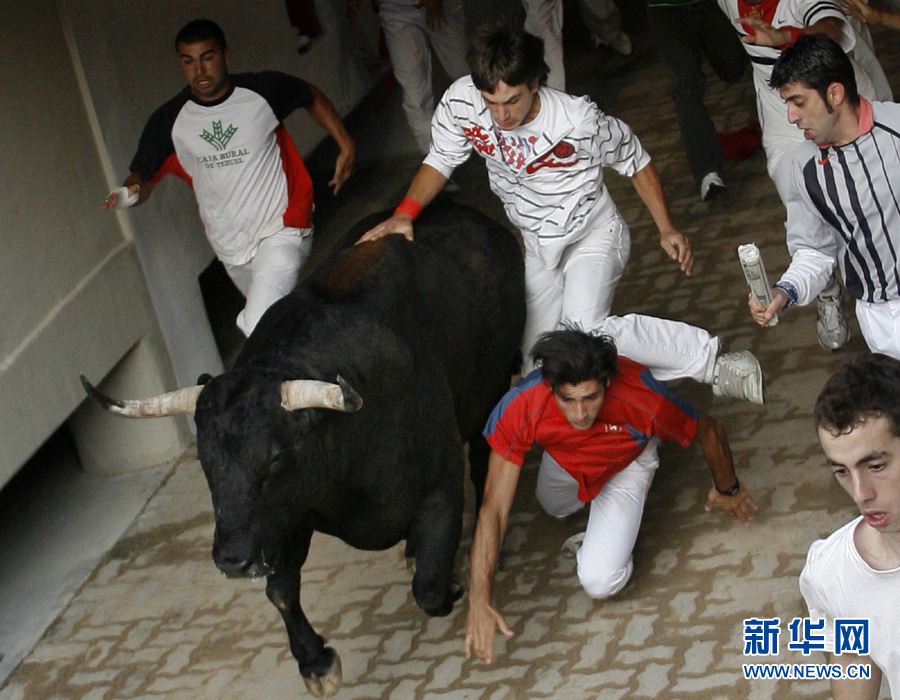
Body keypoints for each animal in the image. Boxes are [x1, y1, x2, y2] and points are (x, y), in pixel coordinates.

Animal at [82, 201, 528, 696]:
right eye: (204, 461)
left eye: (275, 458)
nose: (231, 559)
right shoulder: (283, 517)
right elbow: (280, 589)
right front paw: (316, 662)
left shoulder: (440, 485)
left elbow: (429, 589)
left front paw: (452, 584)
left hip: (491, 389)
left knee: (483, 460)